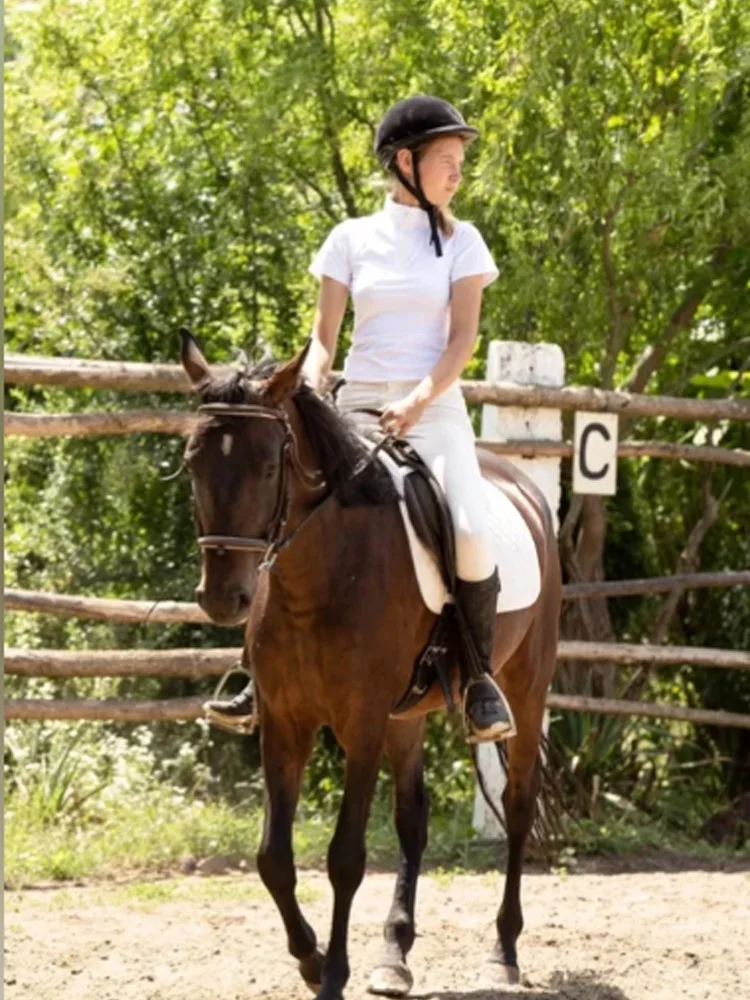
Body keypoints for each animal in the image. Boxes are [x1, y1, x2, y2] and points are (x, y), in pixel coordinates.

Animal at [181, 332, 560, 996]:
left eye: (268, 465)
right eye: (194, 460)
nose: (223, 598)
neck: (322, 573)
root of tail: (524, 482)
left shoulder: (360, 723)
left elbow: (345, 856)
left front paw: (333, 973)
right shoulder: (284, 721)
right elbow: (273, 857)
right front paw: (309, 960)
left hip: (526, 686)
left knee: (516, 804)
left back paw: (503, 951)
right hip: (404, 715)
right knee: (413, 817)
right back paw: (394, 955)